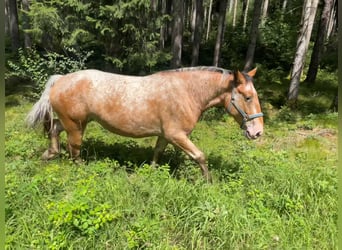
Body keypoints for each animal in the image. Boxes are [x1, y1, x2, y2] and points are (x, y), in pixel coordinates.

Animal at [26, 65, 264, 181]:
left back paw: (49, 154)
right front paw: (208, 182)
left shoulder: (165, 135)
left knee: (55, 130)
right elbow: (200, 156)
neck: (187, 92)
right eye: (248, 97)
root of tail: (61, 79)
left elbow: (157, 153)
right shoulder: (177, 135)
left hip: (75, 122)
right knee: (74, 149)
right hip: (76, 125)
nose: (258, 132)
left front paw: (151, 172)